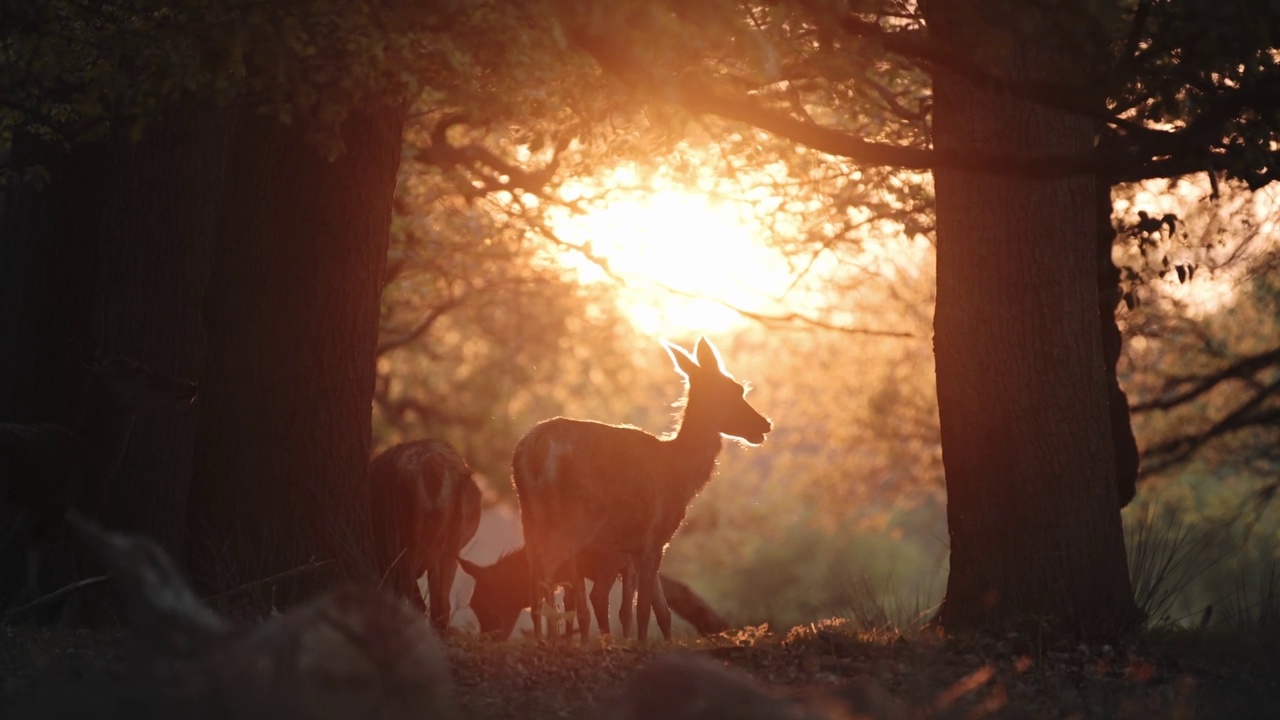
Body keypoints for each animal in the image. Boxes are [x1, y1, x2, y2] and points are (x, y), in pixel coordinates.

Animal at [0, 348, 197, 609]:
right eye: (137, 369)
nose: (190, 385)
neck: (98, 457)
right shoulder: (83, 519)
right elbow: (79, 591)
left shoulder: (33, 538)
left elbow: (33, 593)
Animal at [509, 335, 768, 638]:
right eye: (734, 389)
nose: (764, 424)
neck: (680, 474)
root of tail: (534, 450)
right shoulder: (654, 537)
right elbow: (644, 609)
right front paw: (640, 643)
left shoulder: (632, 547)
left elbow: (657, 610)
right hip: (572, 520)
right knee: (550, 573)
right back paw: (552, 640)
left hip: (529, 517)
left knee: (535, 581)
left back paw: (544, 639)